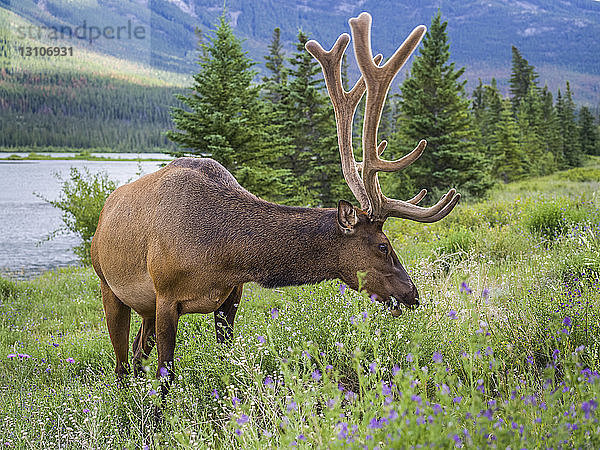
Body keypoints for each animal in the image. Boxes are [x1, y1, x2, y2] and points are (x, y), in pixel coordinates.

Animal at [89, 12, 460, 392]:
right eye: (384, 245)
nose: (413, 294)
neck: (221, 251)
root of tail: (102, 216)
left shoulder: (230, 296)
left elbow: (225, 360)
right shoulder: (165, 297)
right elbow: (167, 379)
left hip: (144, 308)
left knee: (137, 356)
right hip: (110, 287)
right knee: (121, 365)